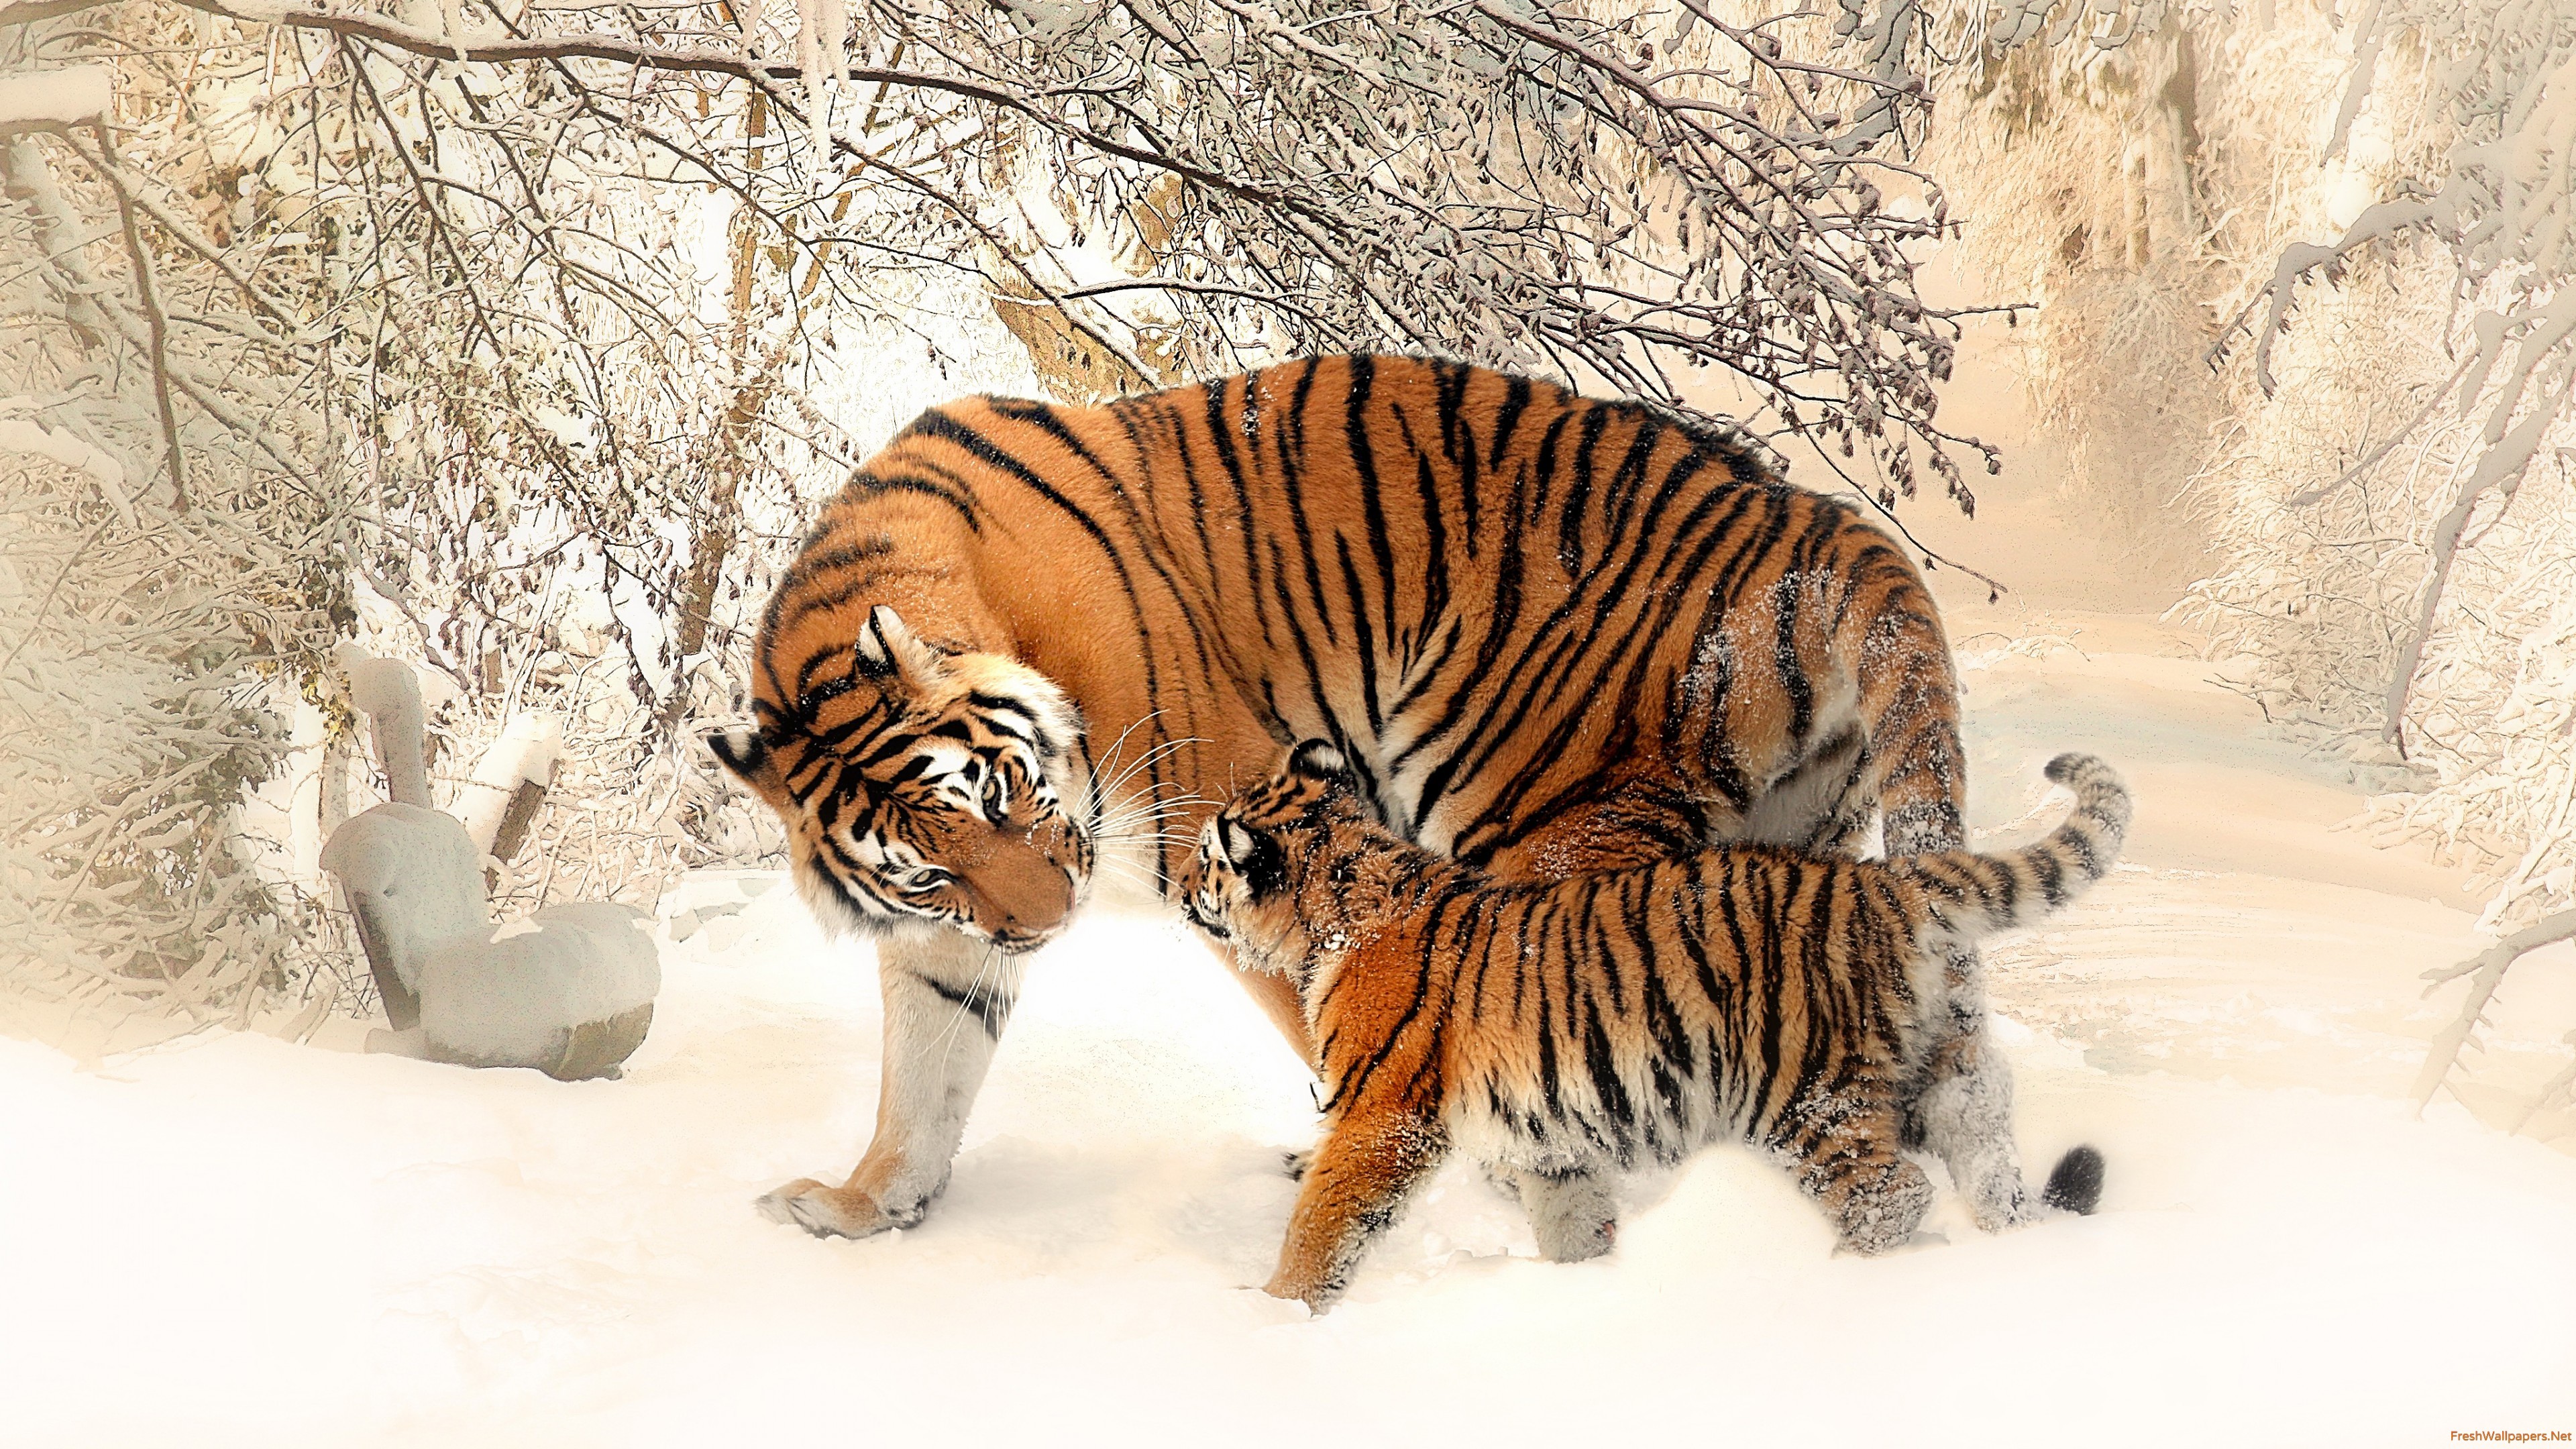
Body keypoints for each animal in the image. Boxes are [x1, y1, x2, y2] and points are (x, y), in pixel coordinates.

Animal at [708, 354, 1996, 1245]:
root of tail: (1816, 520)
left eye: (1007, 796)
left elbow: (1337, 1018)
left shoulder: (1234, 824)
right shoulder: (948, 935)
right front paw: (864, 1206)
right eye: (931, 867)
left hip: (1540, 820)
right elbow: (924, 1073)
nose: (1048, 925)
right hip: (1793, 851)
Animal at [1179, 740, 2125, 1311]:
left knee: (1892, 1194)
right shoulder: (1548, 1139)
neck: (1341, 904)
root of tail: (1883, 882)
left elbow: (1322, 1224)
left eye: (1206, 859)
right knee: (1984, 1150)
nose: (1181, 888)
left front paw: (1274, 1316)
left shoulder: (1379, 1118)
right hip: (1934, 1071)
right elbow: (1572, 1220)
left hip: (1804, 1093)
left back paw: (1839, 1279)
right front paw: (1588, 1290)